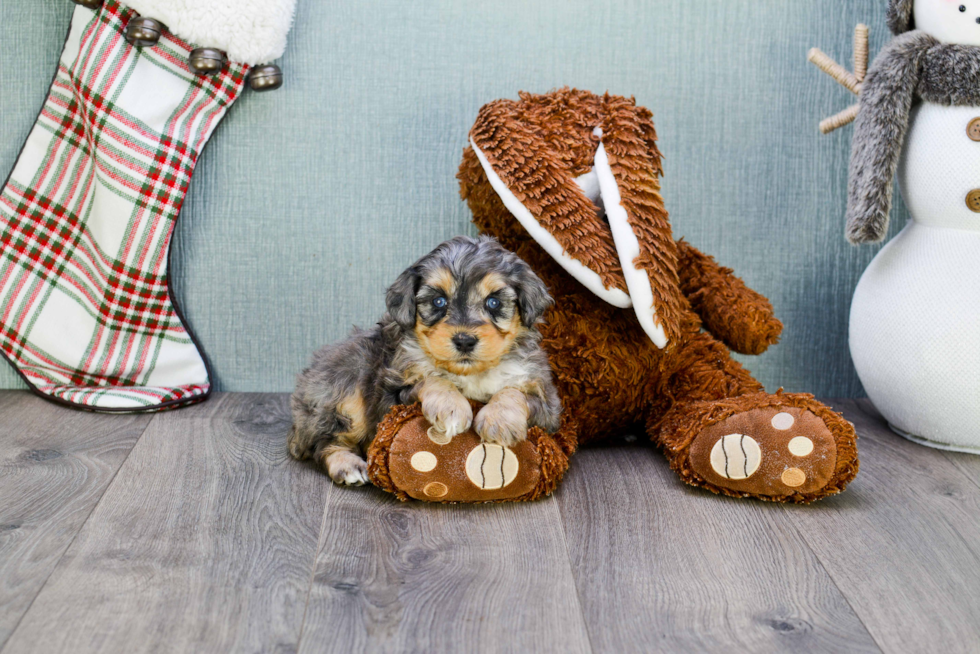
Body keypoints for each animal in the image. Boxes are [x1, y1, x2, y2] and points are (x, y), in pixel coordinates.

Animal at [286, 236, 560, 486]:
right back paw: (348, 466)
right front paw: (452, 408)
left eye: (493, 302)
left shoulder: (549, 407)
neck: (470, 374)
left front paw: (498, 421)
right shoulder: (391, 395)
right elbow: (432, 379)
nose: (464, 341)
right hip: (346, 389)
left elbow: (513, 391)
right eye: (439, 301)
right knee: (324, 442)